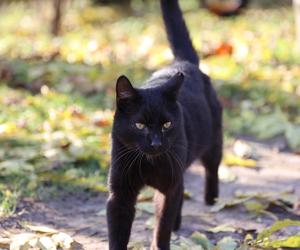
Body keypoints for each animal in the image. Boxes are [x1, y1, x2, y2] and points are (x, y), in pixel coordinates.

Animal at [106, 0, 221, 249]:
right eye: (140, 125)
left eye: (167, 124)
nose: (156, 143)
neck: (148, 162)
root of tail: (184, 62)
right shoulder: (120, 193)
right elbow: (117, 232)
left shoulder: (168, 186)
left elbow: (162, 225)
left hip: (212, 142)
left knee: (212, 167)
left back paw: (212, 200)